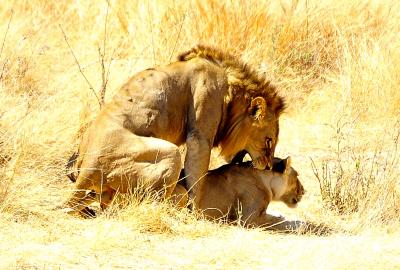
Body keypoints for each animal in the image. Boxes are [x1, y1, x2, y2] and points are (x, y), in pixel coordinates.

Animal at [64, 43, 284, 213]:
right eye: (269, 141)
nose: (268, 167)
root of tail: (86, 169)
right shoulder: (200, 134)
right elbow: (197, 177)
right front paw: (196, 213)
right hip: (169, 153)